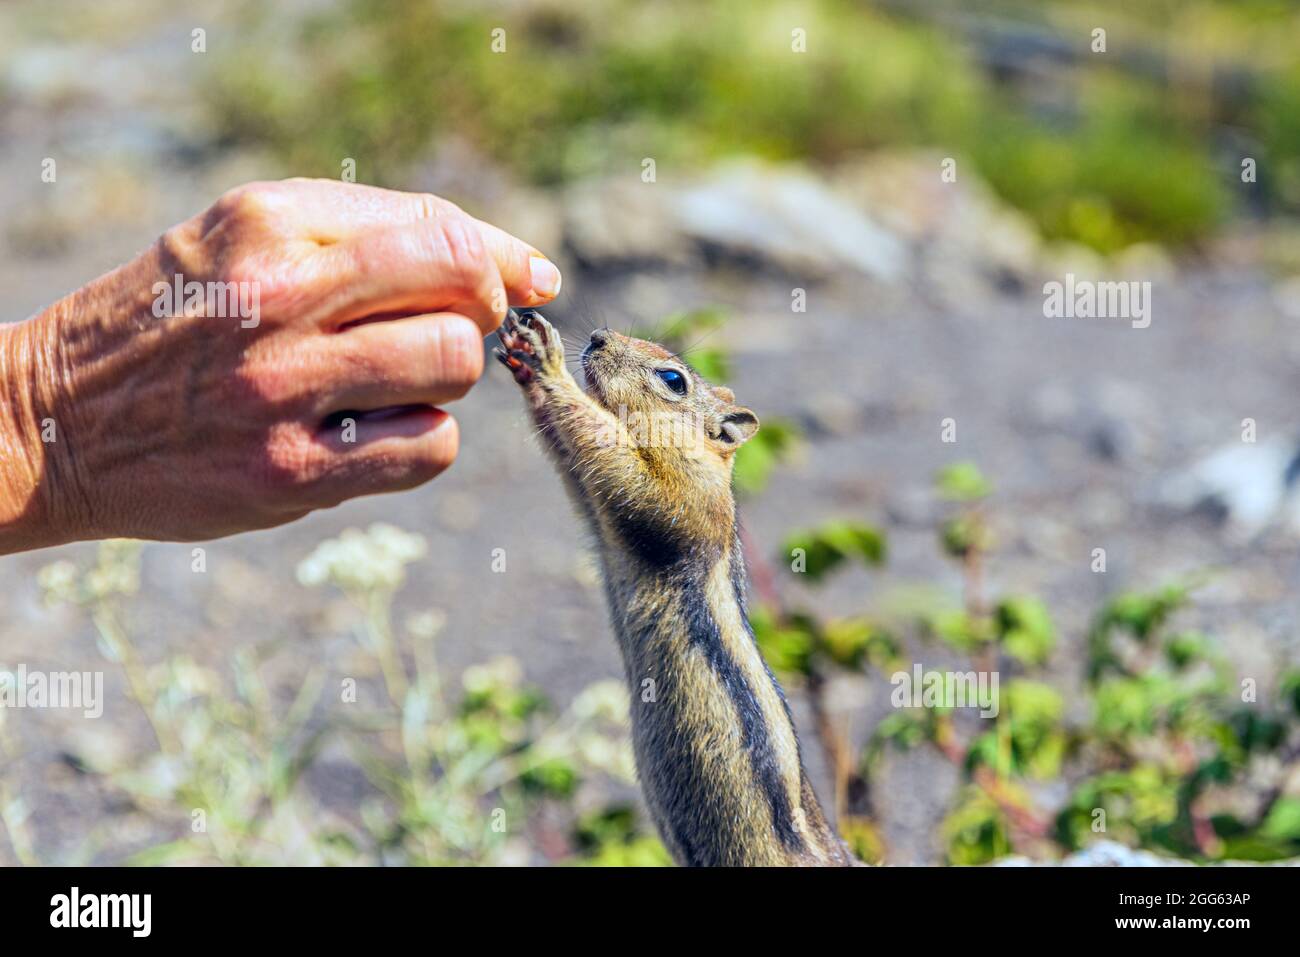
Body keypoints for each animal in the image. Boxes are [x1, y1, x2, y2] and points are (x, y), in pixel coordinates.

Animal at [497, 308, 857, 867]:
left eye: (672, 379)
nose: (597, 337)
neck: (706, 459)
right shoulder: (599, 511)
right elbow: (576, 463)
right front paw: (524, 360)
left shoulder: (681, 497)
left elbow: (617, 458)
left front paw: (547, 362)